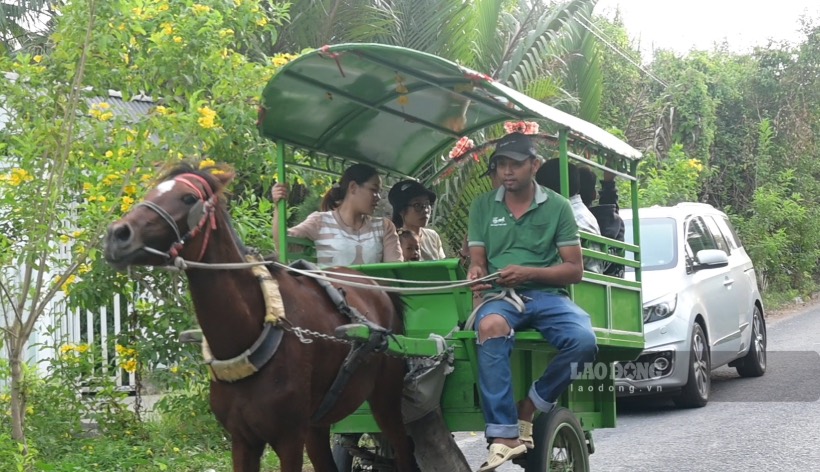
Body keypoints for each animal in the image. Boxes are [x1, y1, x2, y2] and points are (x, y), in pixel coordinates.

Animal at [104, 163, 416, 472]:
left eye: (188, 198)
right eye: (151, 190)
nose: (117, 235)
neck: (249, 336)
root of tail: (378, 286)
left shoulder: (289, 438)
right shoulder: (242, 439)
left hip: (386, 400)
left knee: (404, 449)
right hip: (317, 423)